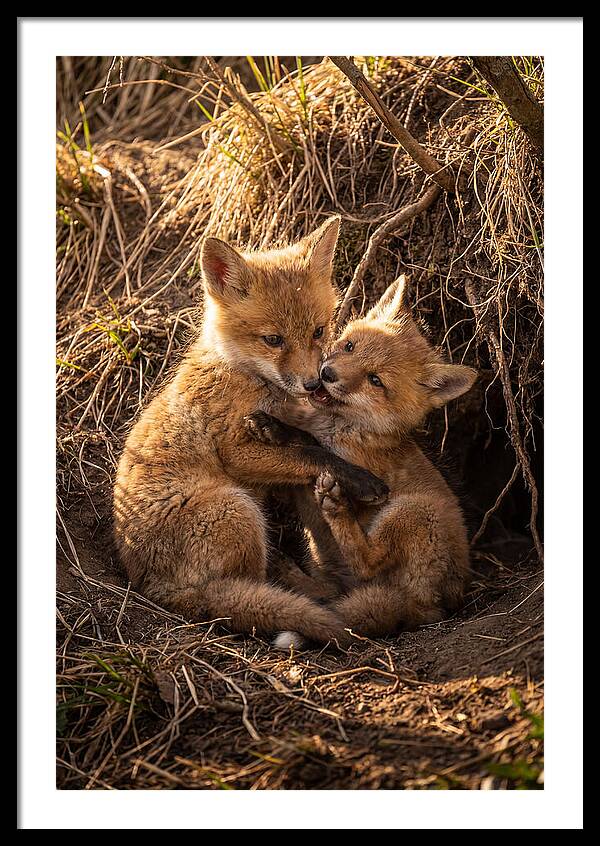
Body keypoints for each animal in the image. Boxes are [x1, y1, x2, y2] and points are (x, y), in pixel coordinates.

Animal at [113, 217, 389, 647]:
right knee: (251, 588)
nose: (313, 384)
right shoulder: (236, 451)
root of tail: (154, 589)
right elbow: (312, 453)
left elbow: (305, 441)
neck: (242, 374)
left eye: (318, 331)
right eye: (273, 340)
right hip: (237, 508)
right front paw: (361, 480)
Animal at [244, 274, 478, 649]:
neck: (343, 427)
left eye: (375, 380)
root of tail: (435, 608)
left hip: (413, 511)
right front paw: (272, 425)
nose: (327, 373)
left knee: (368, 561)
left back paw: (336, 509)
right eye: (350, 346)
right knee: (330, 593)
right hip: (331, 564)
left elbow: (313, 445)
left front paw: (280, 431)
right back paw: (290, 572)